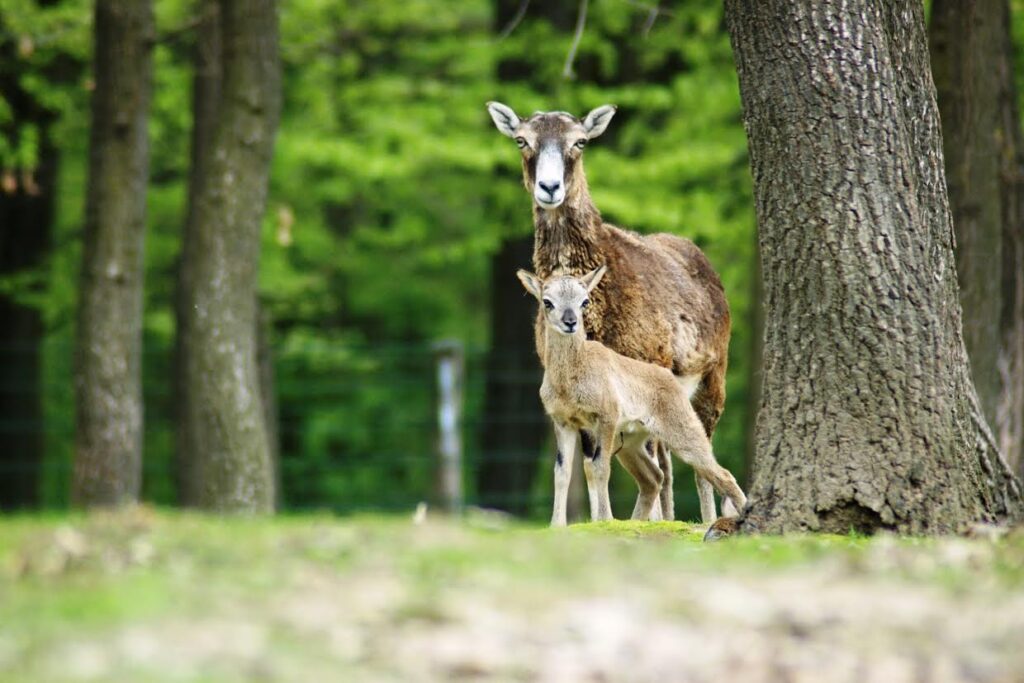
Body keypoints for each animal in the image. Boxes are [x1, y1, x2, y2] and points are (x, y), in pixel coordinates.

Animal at [485, 101, 733, 520]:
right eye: (522, 140)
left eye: (580, 142)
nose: (549, 187)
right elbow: (586, 464)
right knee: (664, 464)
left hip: (711, 380)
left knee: (697, 461)